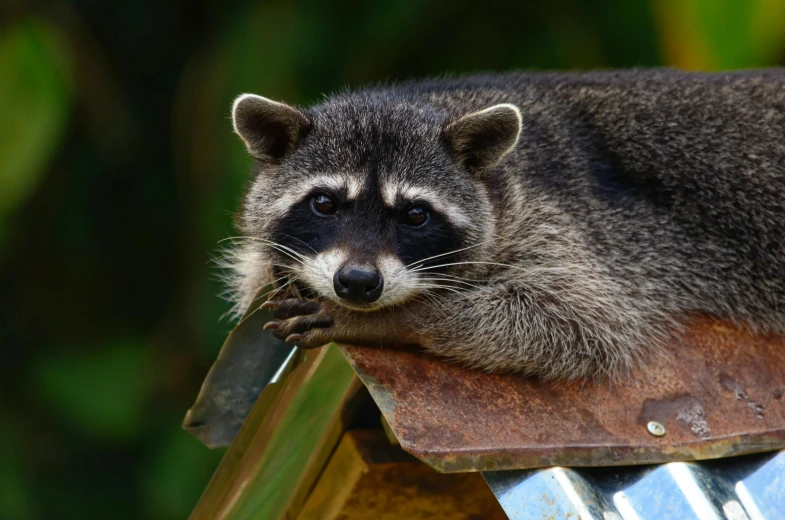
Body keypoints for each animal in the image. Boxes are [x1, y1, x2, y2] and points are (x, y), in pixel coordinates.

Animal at [222, 69, 784, 380]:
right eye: (324, 204)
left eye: (416, 215)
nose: (358, 284)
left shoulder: (565, 224)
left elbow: (581, 322)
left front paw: (398, 320)